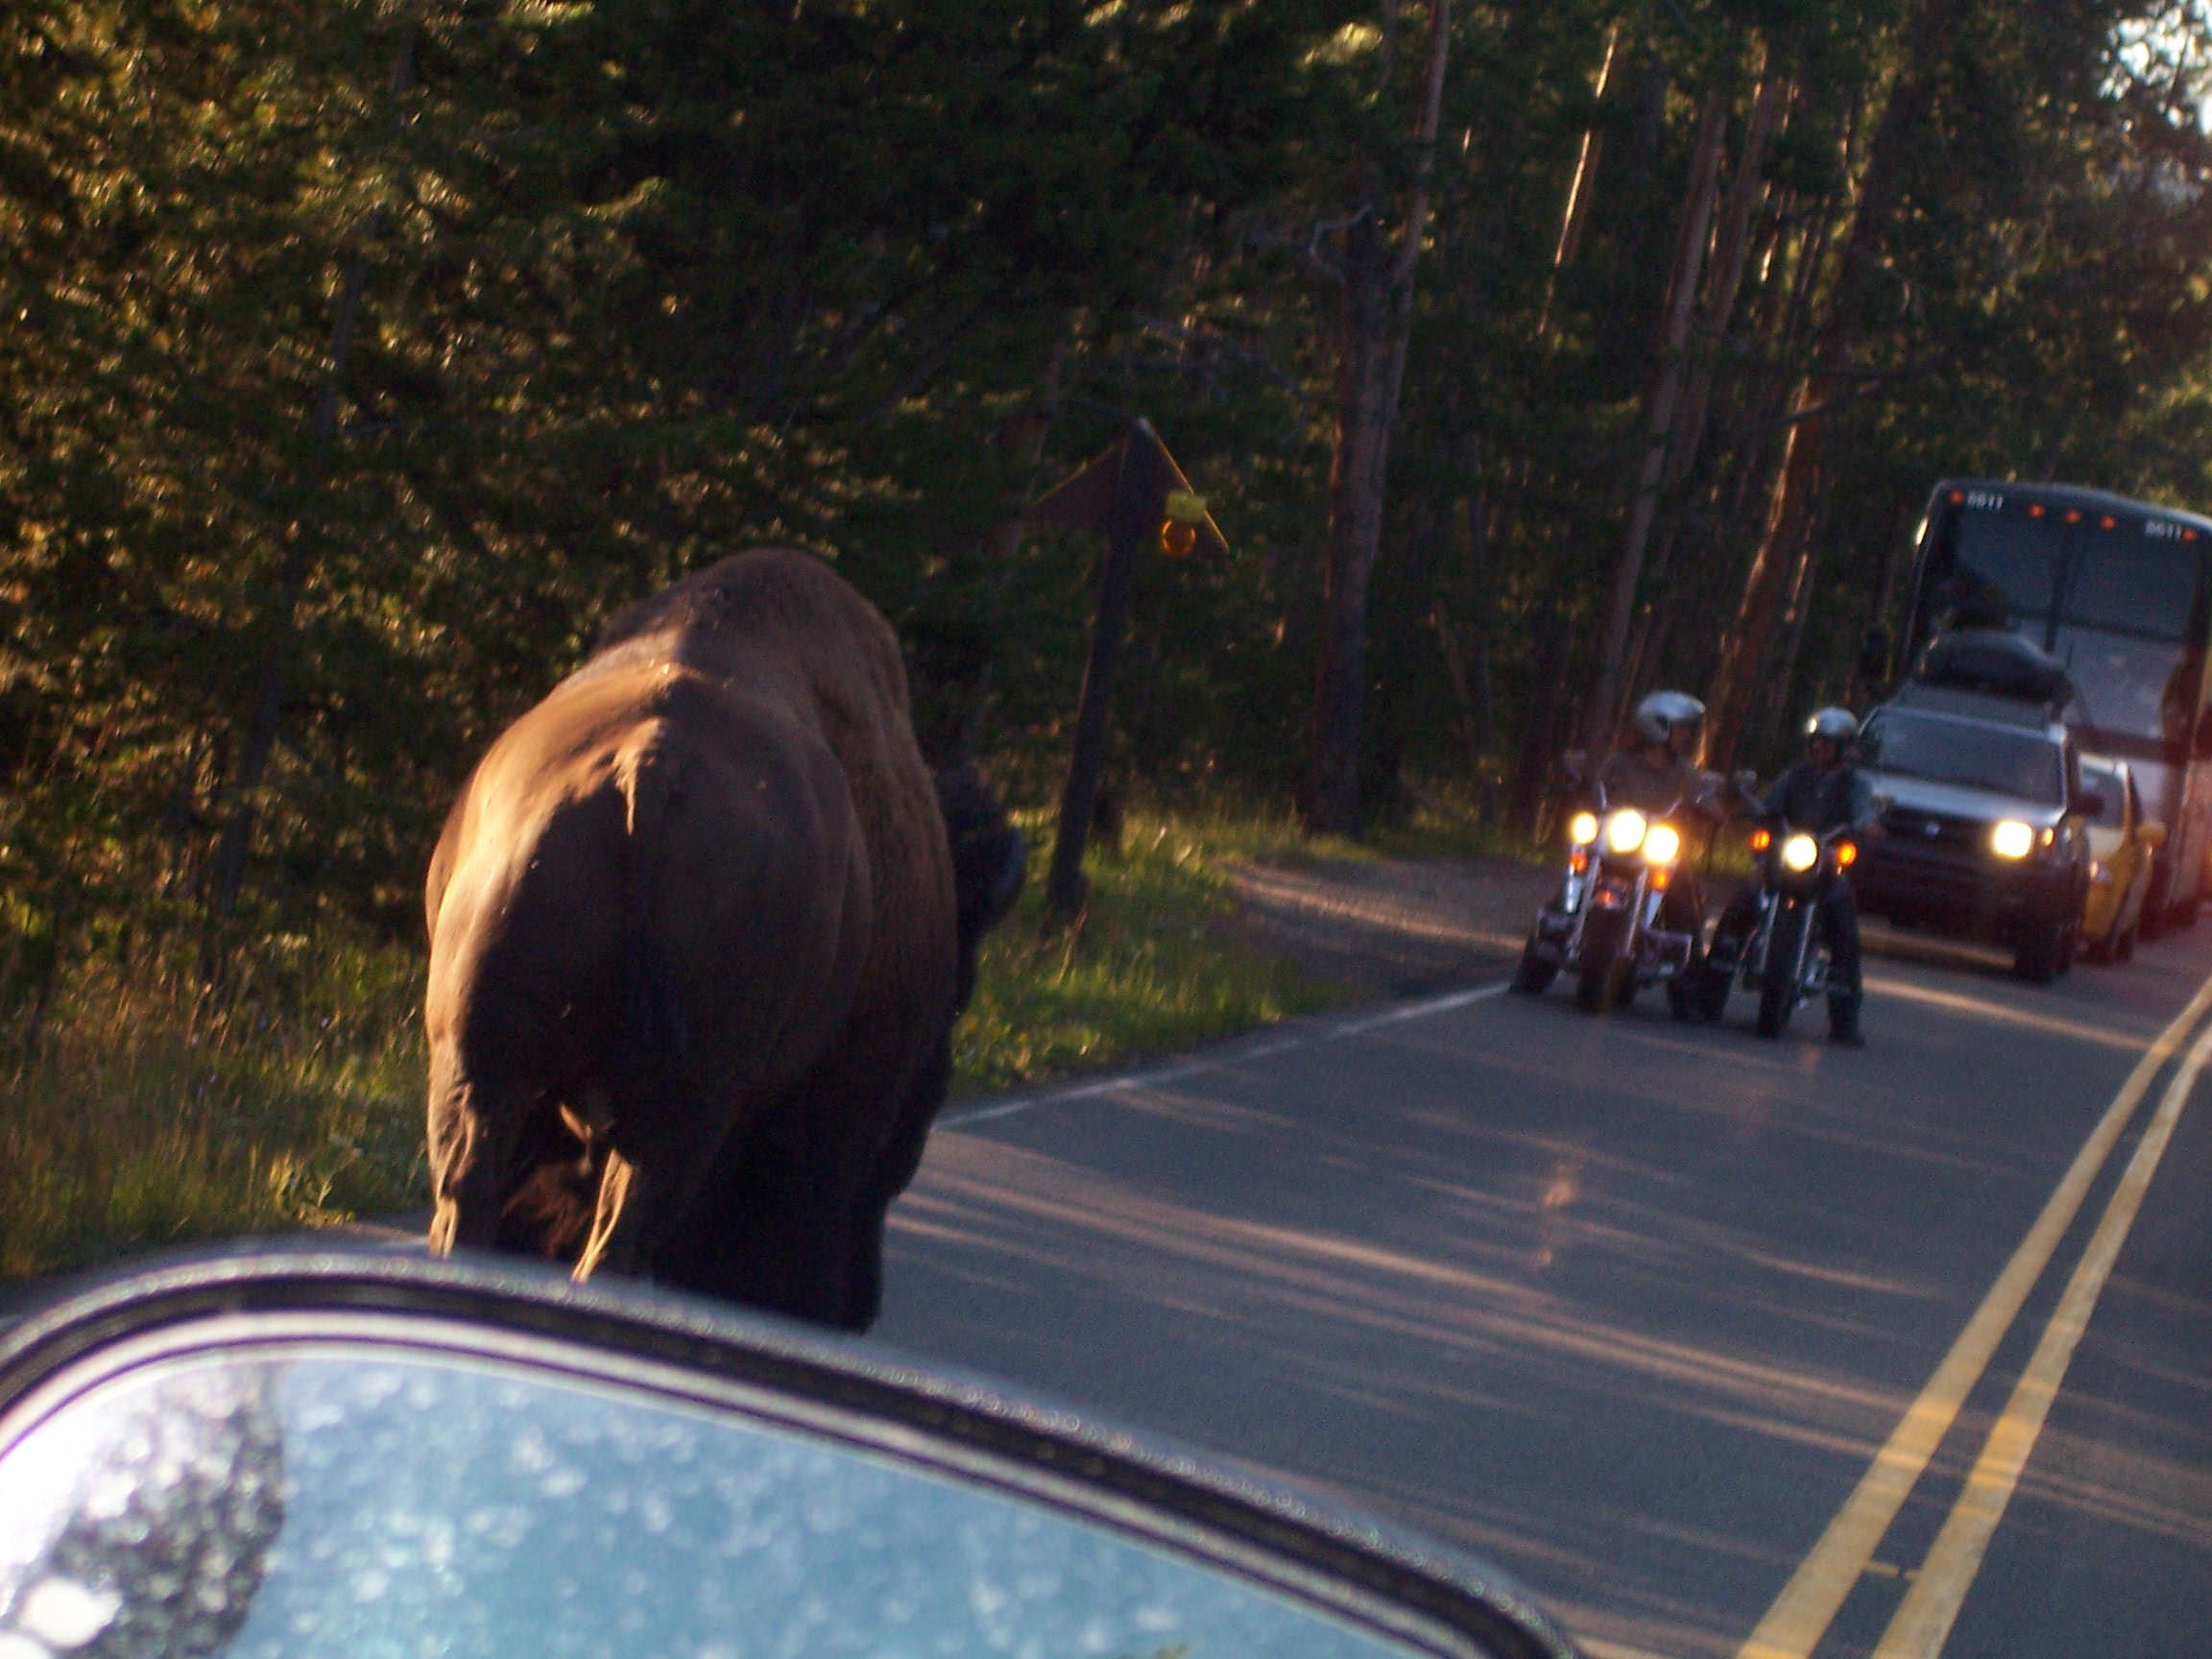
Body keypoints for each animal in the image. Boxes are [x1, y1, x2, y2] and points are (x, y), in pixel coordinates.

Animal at [420, 553, 1017, 1335]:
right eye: (957, 997)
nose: (859, 1309)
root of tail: (647, 767)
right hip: (669, 1121)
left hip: (485, 1073)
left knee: (480, 1213)